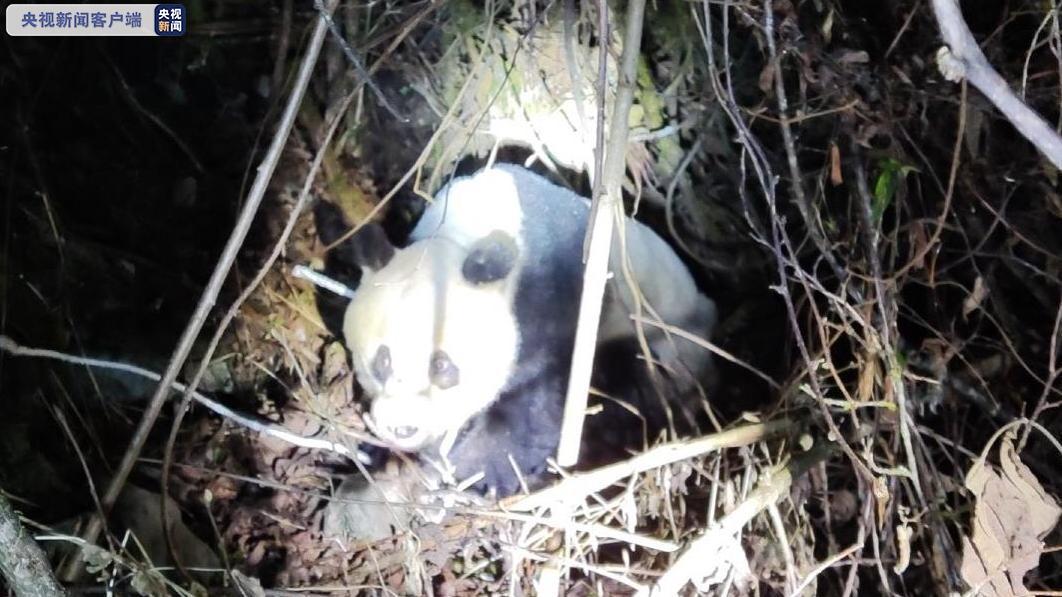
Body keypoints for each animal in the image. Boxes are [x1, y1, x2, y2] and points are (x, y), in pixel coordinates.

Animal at [314, 162, 713, 492]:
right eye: (382, 362)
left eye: (442, 367)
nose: (403, 427)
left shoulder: (555, 297)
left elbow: (538, 403)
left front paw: (474, 472)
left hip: (666, 331)